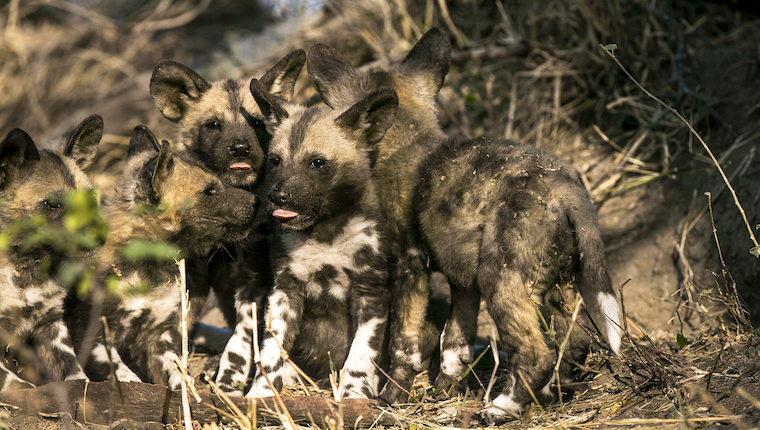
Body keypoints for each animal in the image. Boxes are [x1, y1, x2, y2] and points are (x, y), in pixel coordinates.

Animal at [0, 115, 102, 394]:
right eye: (53, 204)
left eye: (90, 199)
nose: (101, 236)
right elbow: (14, 386)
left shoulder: (50, 326)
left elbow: (76, 375)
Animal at [63, 125, 258, 390]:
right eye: (209, 191)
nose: (258, 201)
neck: (147, 265)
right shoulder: (92, 337)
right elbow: (125, 377)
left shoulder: (160, 337)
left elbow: (179, 377)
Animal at [151, 49, 306, 394]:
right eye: (214, 125)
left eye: (258, 123)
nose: (240, 148)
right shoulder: (191, 277)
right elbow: (177, 328)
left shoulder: (253, 280)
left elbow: (243, 335)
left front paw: (230, 377)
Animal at [243, 79, 398, 398]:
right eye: (275, 161)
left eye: (316, 163)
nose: (277, 196)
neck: (325, 233)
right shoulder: (285, 292)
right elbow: (272, 351)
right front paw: (261, 394)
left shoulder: (371, 294)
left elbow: (360, 355)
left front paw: (353, 397)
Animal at [306, 27, 620, 416]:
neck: (405, 142)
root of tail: (564, 186)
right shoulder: (462, 282)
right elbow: (455, 341)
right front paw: (445, 388)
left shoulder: (410, 266)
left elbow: (404, 343)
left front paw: (393, 396)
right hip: (556, 285)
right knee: (574, 343)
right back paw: (549, 395)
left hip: (499, 277)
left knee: (537, 354)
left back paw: (500, 409)